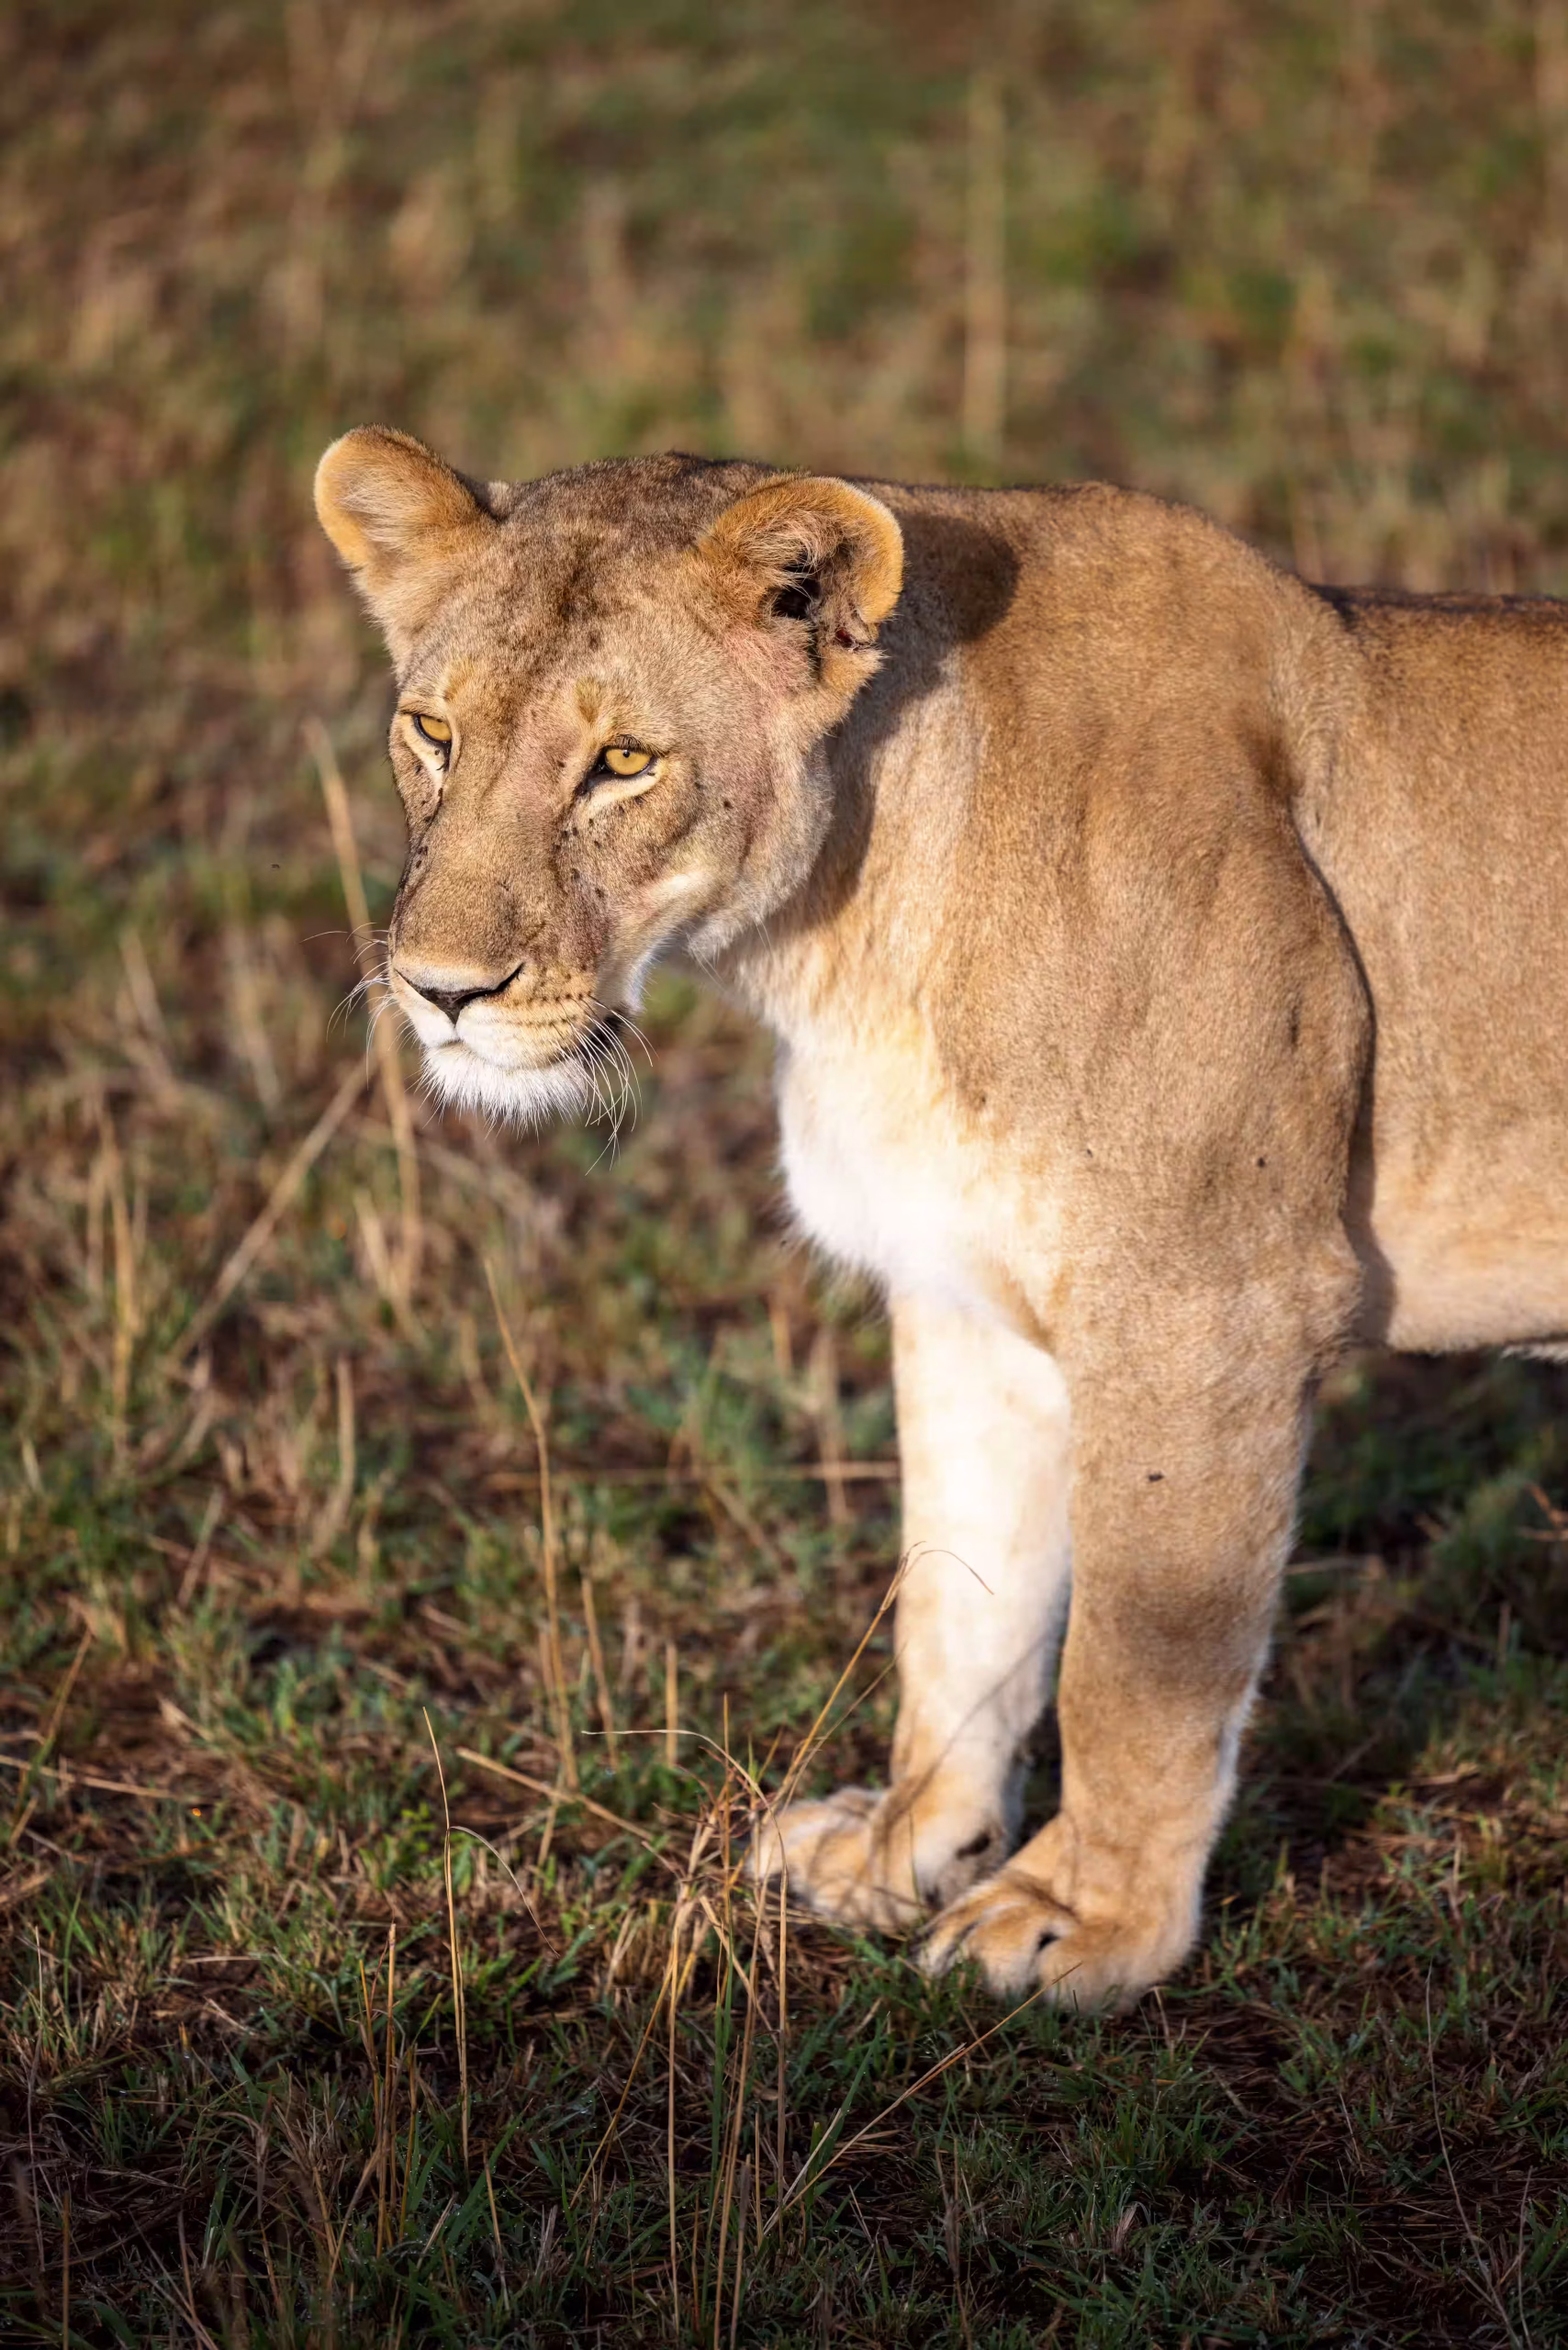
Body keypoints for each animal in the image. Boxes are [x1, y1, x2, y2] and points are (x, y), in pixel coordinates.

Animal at [315, 426, 1568, 2009]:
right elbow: (961, 1608)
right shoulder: (968, 1296)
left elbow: (1135, 1663)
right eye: (433, 734)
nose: (441, 991)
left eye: (622, 762)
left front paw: (1088, 1921)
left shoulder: (1207, 1305)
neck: (843, 943)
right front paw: (910, 1849)